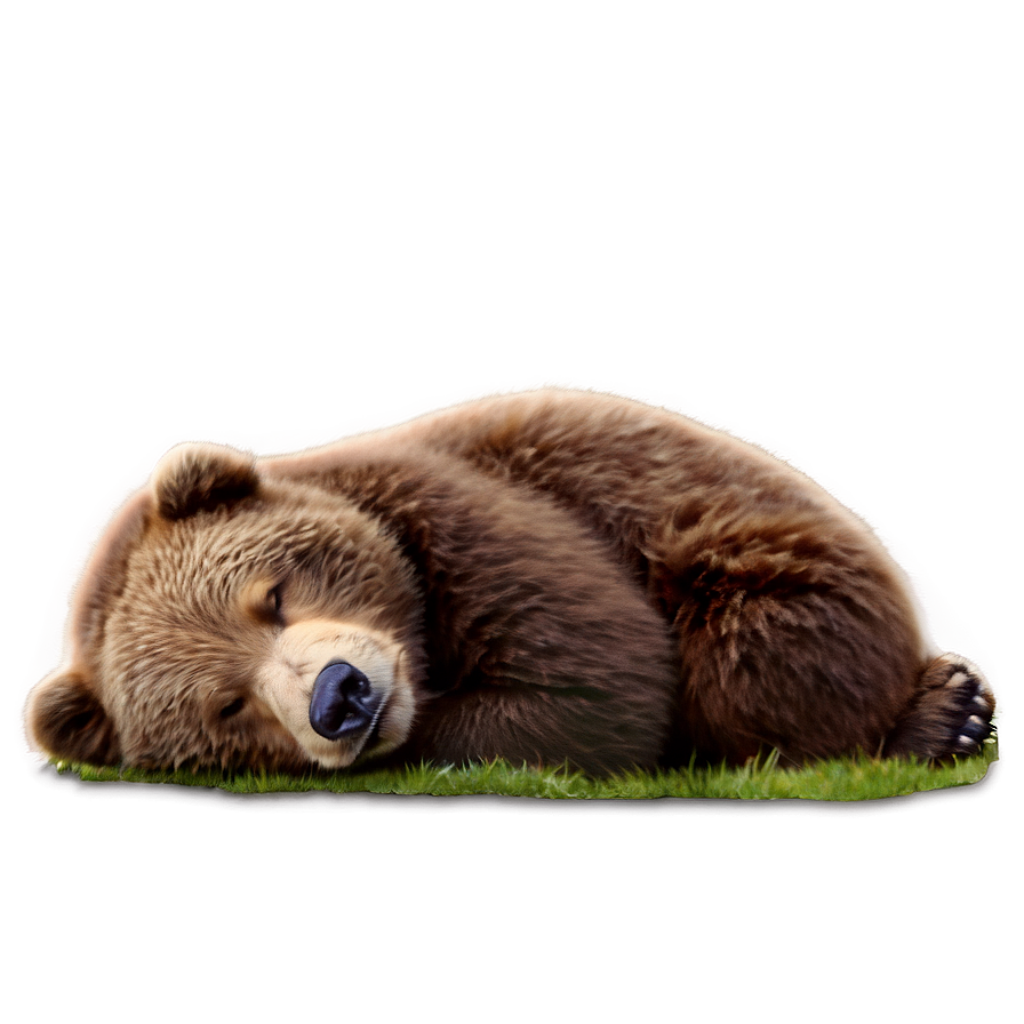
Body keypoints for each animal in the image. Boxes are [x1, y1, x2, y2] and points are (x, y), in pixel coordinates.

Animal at [26, 388, 997, 778]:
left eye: (273, 593)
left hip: (755, 557)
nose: (341, 695)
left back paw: (945, 715)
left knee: (750, 657)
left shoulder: (464, 518)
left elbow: (600, 674)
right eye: (226, 706)